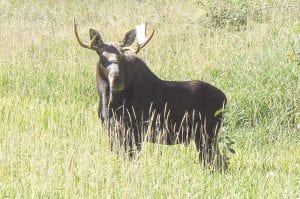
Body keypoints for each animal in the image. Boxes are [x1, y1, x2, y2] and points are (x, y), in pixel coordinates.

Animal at [74, 19, 227, 167]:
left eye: (123, 57)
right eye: (102, 57)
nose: (117, 81)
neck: (108, 102)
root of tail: (225, 98)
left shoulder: (135, 132)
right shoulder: (112, 131)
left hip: (206, 135)